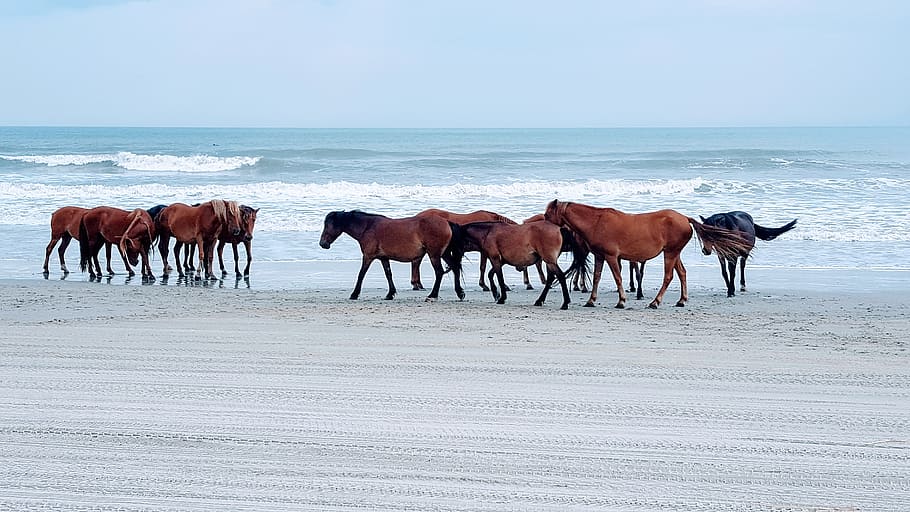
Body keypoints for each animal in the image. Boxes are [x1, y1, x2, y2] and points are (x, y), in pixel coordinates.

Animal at [319, 210, 465, 302]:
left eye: (328, 225)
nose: (322, 244)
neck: (368, 227)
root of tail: (446, 222)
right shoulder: (384, 258)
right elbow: (388, 274)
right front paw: (390, 294)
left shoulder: (368, 256)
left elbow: (361, 274)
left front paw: (354, 294)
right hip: (444, 254)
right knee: (455, 268)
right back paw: (460, 293)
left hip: (434, 254)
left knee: (439, 272)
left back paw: (432, 295)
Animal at [451, 220, 589, 309]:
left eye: (455, 240)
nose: (455, 259)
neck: (488, 232)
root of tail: (559, 228)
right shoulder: (500, 261)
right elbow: (491, 275)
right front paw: (496, 294)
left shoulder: (495, 259)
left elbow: (499, 278)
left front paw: (501, 298)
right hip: (549, 262)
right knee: (551, 278)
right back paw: (539, 301)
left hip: (549, 261)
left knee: (560, 277)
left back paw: (565, 303)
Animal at [544, 200, 754, 309]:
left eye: (547, 214)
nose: (542, 225)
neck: (597, 221)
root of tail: (684, 218)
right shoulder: (600, 256)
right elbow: (596, 277)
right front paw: (591, 300)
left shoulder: (612, 256)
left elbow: (618, 278)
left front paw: (621, 301)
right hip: (674, 253)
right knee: (682, 273)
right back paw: (681, 300)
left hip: (670, 253)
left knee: (669, 276)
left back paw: (655, 302)